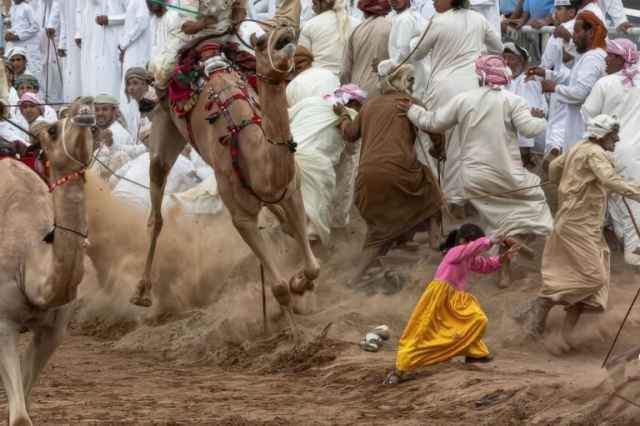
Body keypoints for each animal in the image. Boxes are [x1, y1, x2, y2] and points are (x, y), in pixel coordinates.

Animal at [0, 98, 95, 424]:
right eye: (53, 130)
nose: (86, 106)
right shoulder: (2, 323)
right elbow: (20, 416)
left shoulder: (53, 331)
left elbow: (24, 406)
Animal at [131, 24, 320, 330]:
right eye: (261, 43)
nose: (285, 32)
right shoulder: (241, 217)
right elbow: (279, 287)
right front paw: (292, 332)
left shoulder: (291, 192)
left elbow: (313, 266)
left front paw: (301, 283)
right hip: (161, 122)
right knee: (156, 214)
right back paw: (141, 292)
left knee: (281, 218)